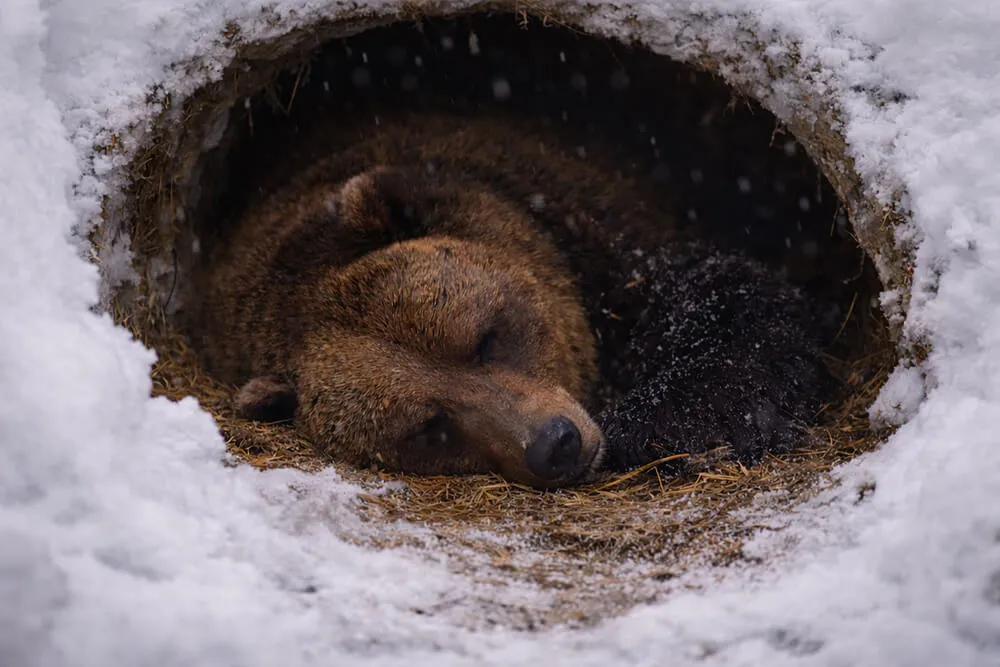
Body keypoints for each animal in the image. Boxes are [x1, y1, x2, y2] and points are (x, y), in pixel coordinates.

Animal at [186, 111, 830, 488]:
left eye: (485, 338)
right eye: (429, 426)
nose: (556, 445)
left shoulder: (610, 237)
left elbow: (730, 310)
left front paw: (668, 422)